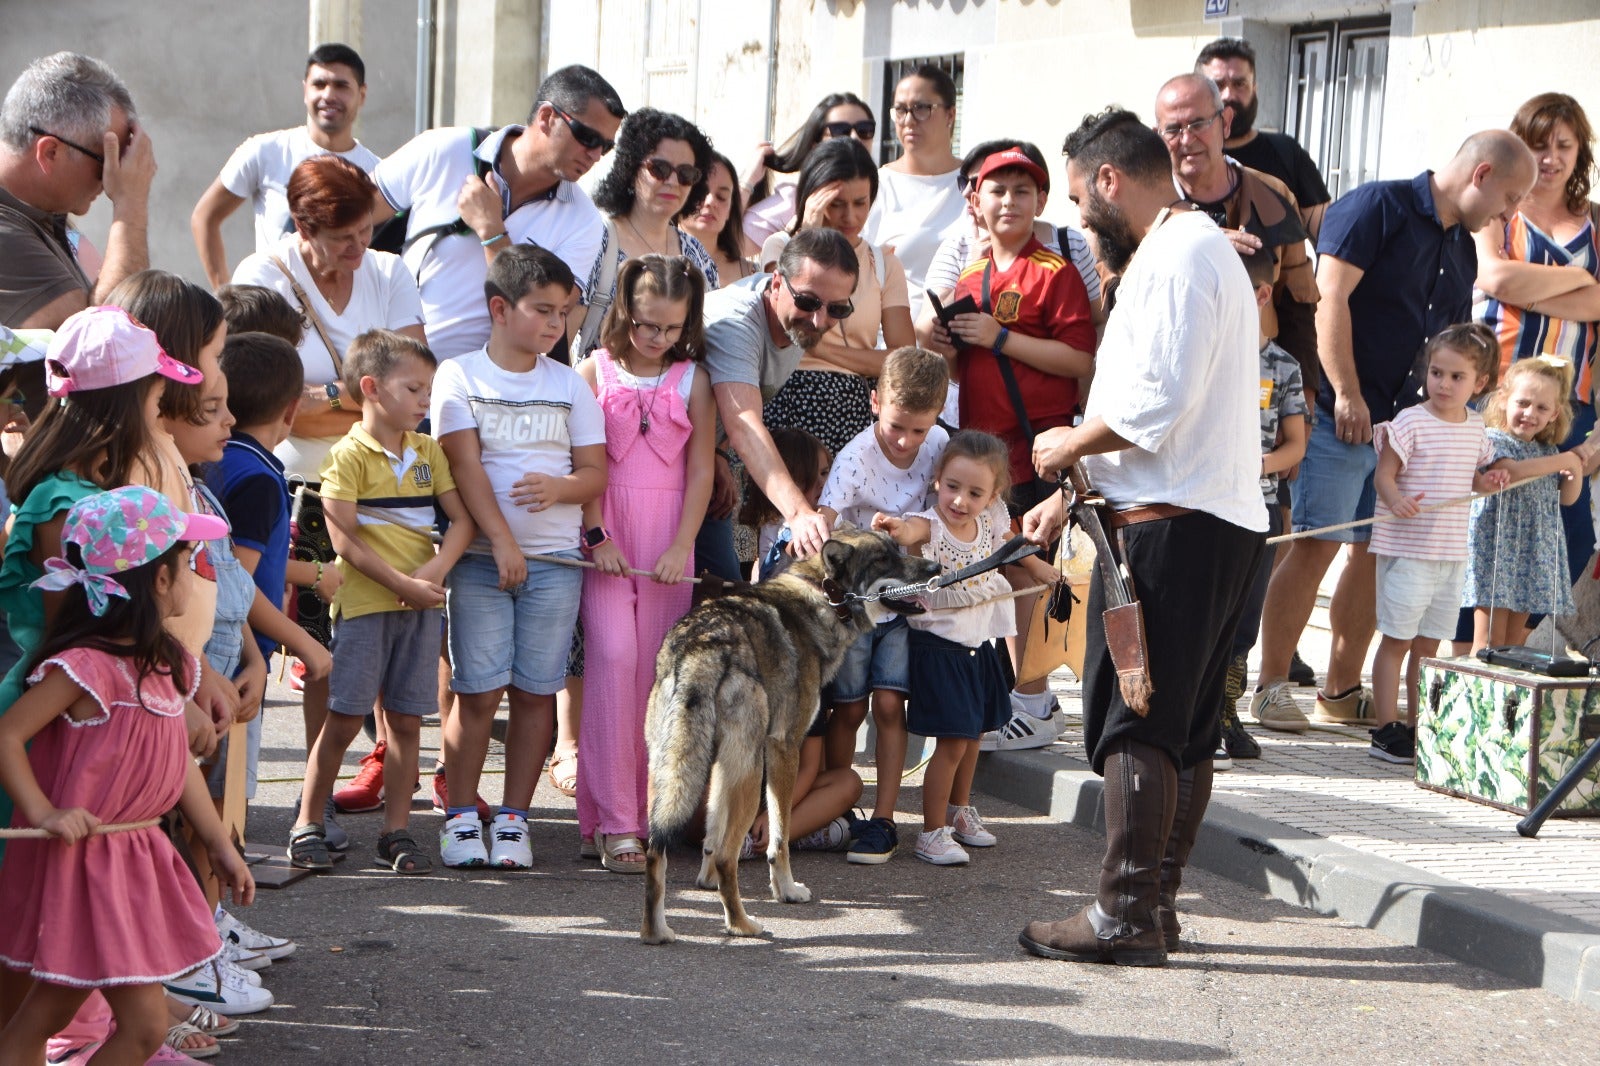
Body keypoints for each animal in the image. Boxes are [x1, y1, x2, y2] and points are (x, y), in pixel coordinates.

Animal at [636, 521, 934, 941]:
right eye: (883, 559)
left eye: (898, 548)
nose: (935, 566)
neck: (823, 596)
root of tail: (702, 648)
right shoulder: (784, 748)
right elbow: (779, 838)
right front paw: (787, 891)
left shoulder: (721, 768)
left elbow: (711, 831)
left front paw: (706, 881)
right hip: (748, 776)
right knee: (729, 855)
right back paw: (742, 925)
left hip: (671, 775)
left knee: (658, 850)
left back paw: (657, 931)